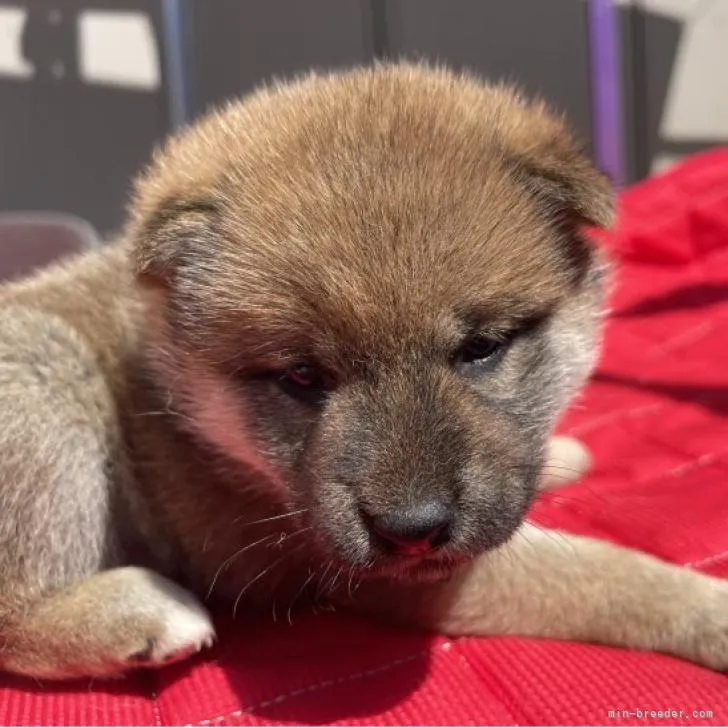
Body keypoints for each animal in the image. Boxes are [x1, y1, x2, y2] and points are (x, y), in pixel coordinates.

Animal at [1, 64, 728, 684]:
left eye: (483, 347)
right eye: (301, 376)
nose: (412, 529)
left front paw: (565, 455)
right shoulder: (401, 575)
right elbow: (609, 578)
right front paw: (708, 611)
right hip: (43, 366)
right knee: (15, 618)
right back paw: (140, 611)